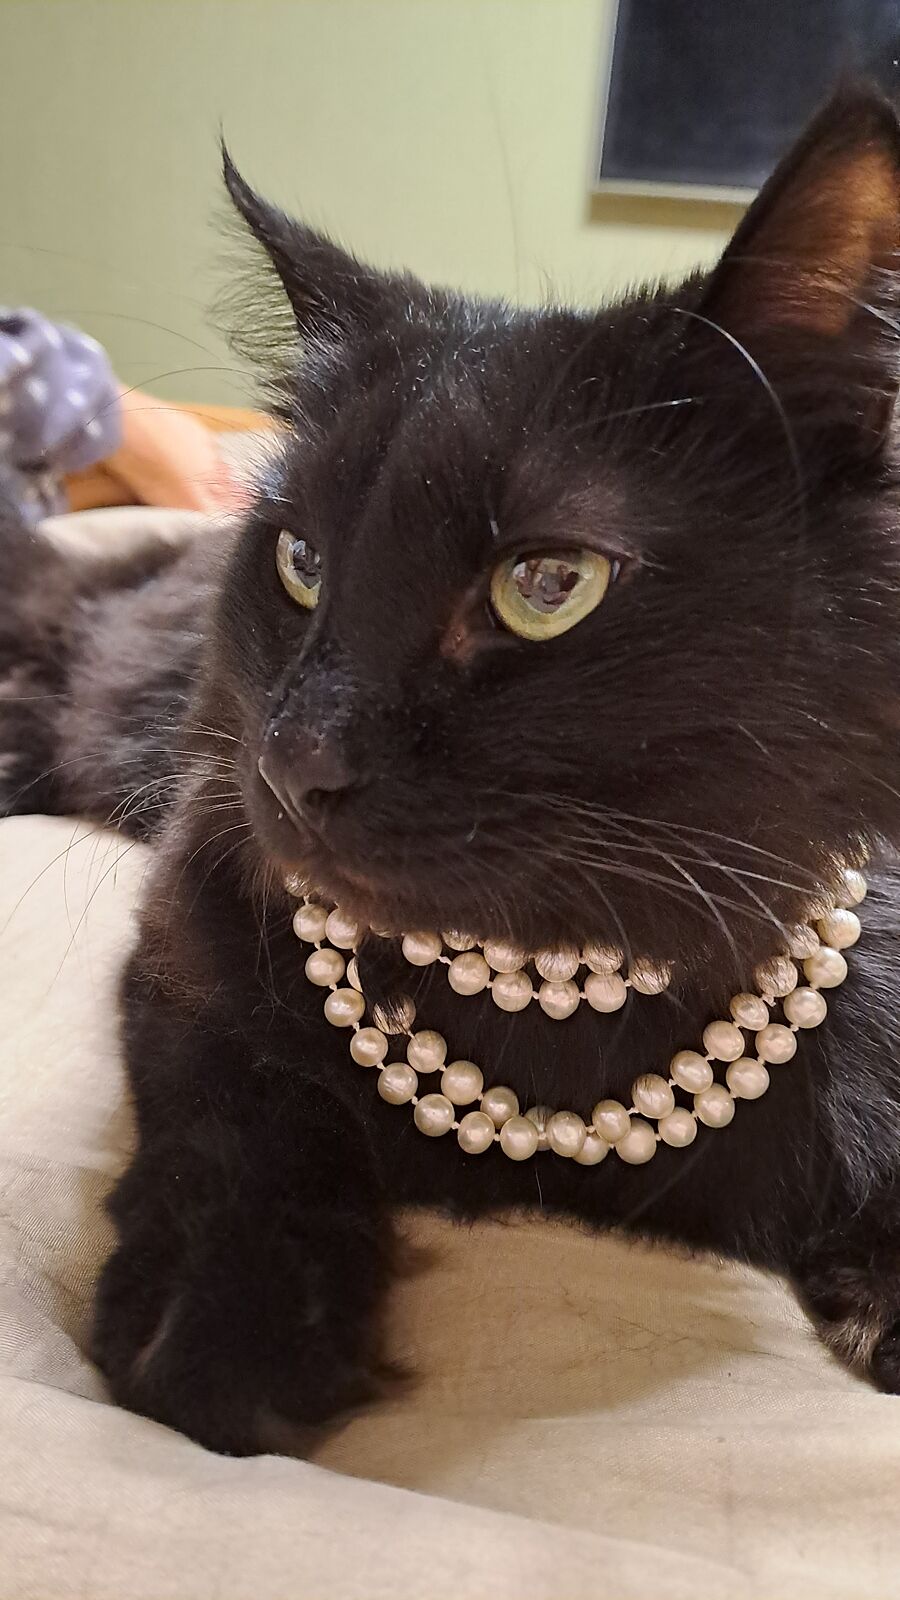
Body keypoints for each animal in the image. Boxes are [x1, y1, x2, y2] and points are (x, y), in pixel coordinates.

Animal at [3, 84, 900, 1456]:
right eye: (304, 563)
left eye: (548, 584)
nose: (293, 761)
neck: (557, 1000)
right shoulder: (189, 917)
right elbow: (240, 1106)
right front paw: (226, 1328)